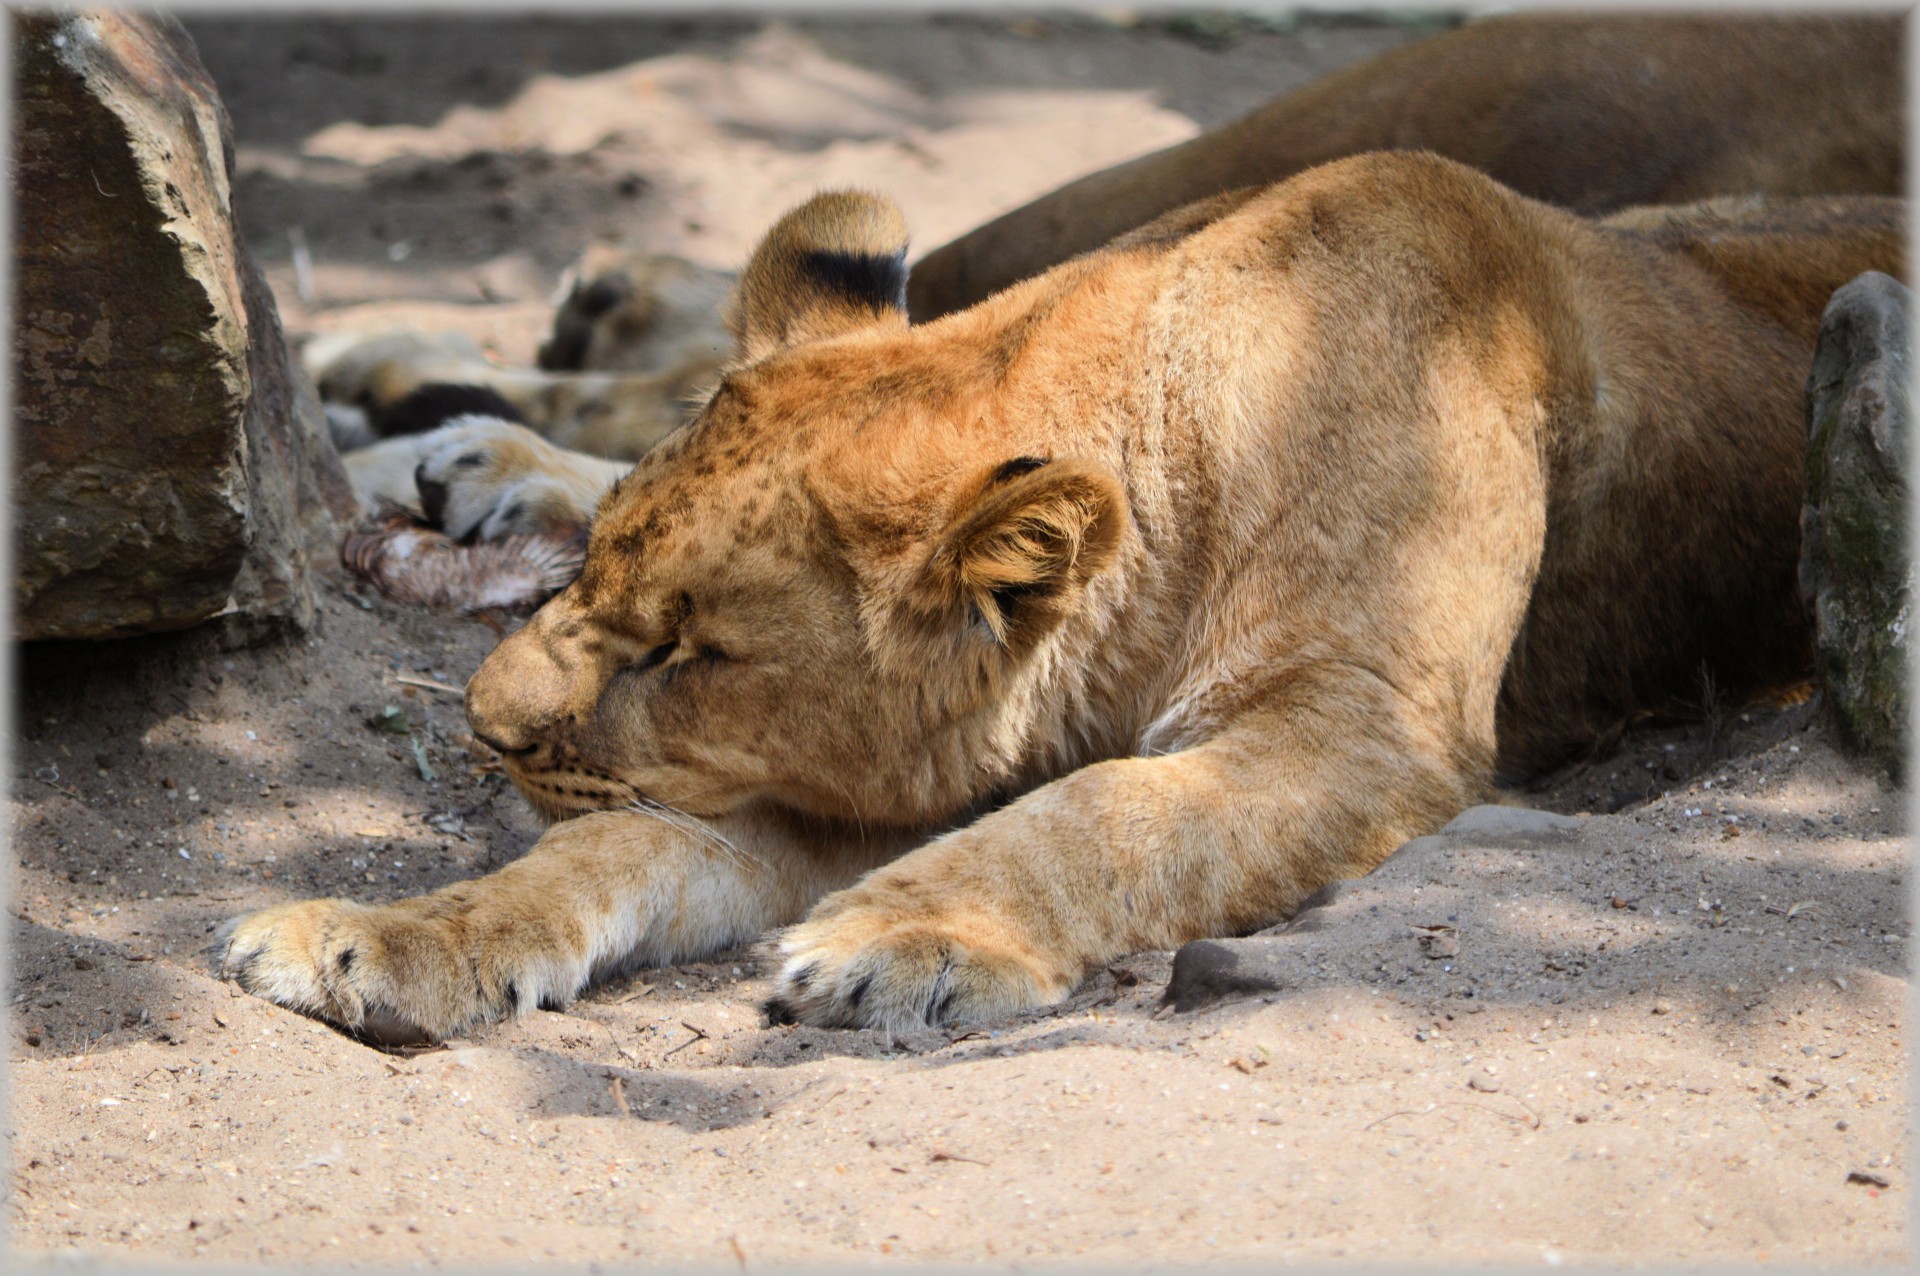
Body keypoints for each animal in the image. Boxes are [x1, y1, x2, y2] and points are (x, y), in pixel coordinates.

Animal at [220, 154, 1904, 1043]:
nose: (481, 730)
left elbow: (1113, 815)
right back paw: (459, 431)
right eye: (598, 587)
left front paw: (910, 937)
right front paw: (373, 938)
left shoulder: (1363, 727)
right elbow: (598, 857)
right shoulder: (854, 781)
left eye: (688, 651)